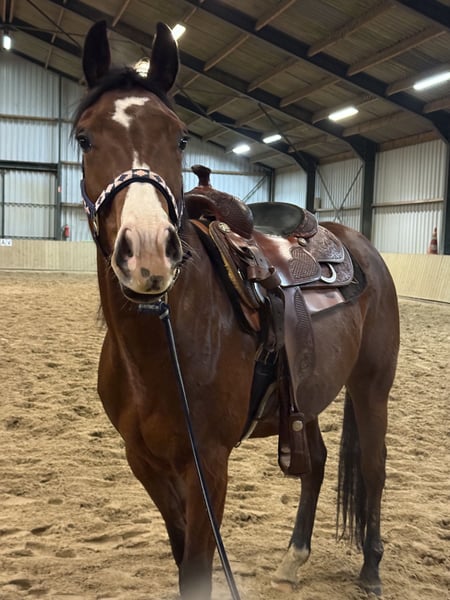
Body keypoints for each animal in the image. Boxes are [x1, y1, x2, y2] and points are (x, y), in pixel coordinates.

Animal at [74, 20, 399, 600]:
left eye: (180, 137)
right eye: (84, 138)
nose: (149, 253)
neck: (163, 346)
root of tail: (357, 241)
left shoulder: (208, 467)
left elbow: (198, 571)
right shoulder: (147, 464)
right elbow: (182, 557)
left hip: (371, 385)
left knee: (374, 468)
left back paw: (371, 569)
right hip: (305, 397)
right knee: (316, 463)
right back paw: (293, 559)